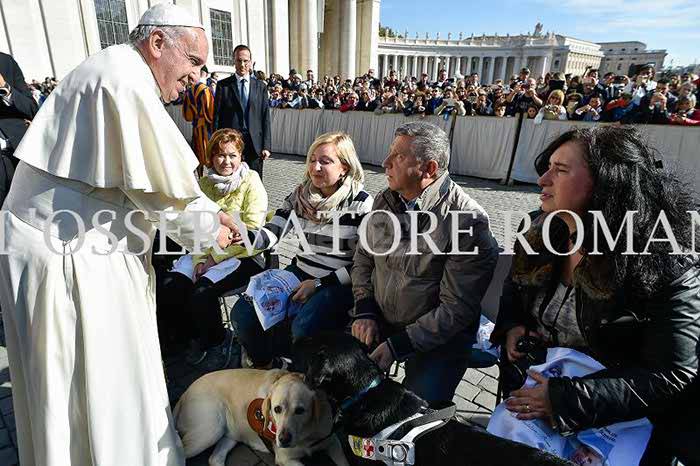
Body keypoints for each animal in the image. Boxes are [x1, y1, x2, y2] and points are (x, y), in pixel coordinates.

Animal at [174, 368, 348, 466]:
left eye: (300, 410)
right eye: (277, 409)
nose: (283, 439)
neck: (306, 435)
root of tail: (184, 393)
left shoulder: (333, 442)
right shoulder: (285, 458)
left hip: (228, 434)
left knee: (215, 459)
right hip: (210, 430)